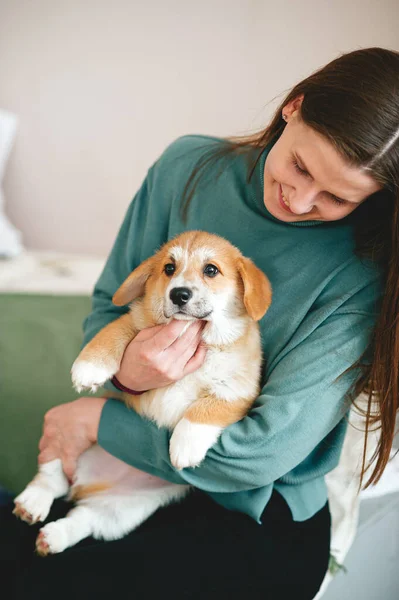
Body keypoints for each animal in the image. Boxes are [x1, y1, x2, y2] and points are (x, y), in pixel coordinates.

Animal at [14, 229, 274, 552]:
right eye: (169, 268)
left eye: (211, 270)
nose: (178, 294)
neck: (196, 334)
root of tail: (87, 485)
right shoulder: (136, 323)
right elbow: (114, 331)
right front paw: (89, 367)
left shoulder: (240, 391)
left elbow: (206, 411)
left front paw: (184, 447)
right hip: (69, 447)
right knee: (52, 476)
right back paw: (33, 501)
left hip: (122, 513)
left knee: (84, 517)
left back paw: (54, 535)